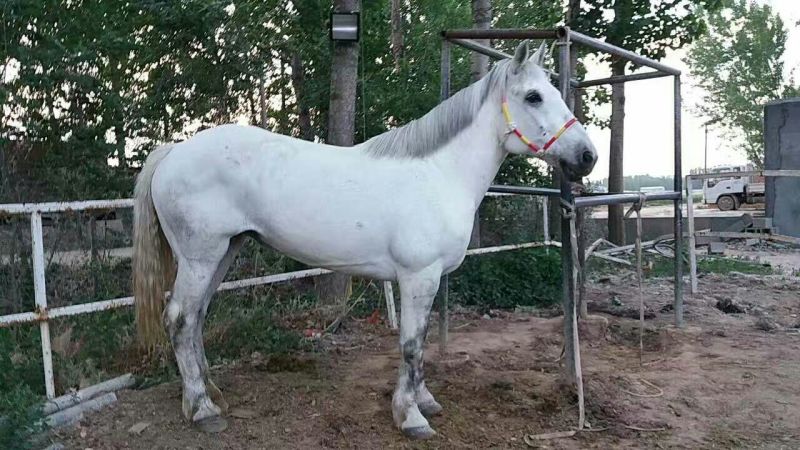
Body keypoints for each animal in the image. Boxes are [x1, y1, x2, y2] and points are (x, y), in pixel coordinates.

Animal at [132, 40, 597, 439]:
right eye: (534, 96)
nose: (587, 156)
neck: (439, 174)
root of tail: (174, 152)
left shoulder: (425, 281)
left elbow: (420, 342)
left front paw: (424, 401)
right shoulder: (418, 276)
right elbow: (410, 345)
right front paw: (410, 417)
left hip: (225, 251)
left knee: (196, 318)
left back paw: (211, 393)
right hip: (201, 256)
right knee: (180, 319)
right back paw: (202, 409)